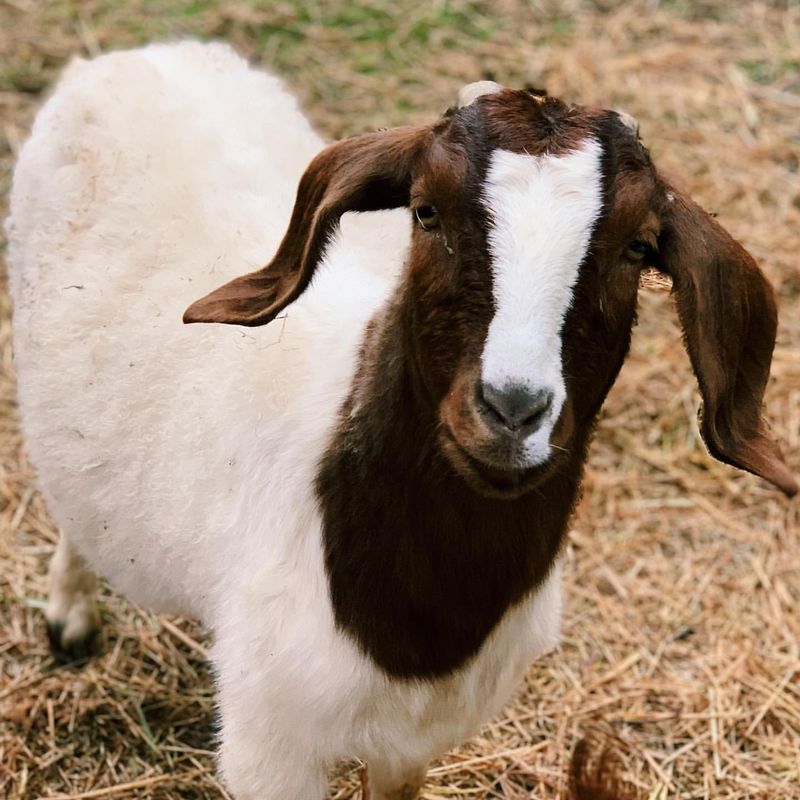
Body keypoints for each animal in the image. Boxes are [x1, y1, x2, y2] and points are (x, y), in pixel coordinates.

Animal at [6, 39, 792, 800]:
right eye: (425, 210)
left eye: (637, 246)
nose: (512, 408)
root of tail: (134, 58)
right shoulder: (271, 744)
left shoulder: (417, 740)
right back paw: (70, 615)